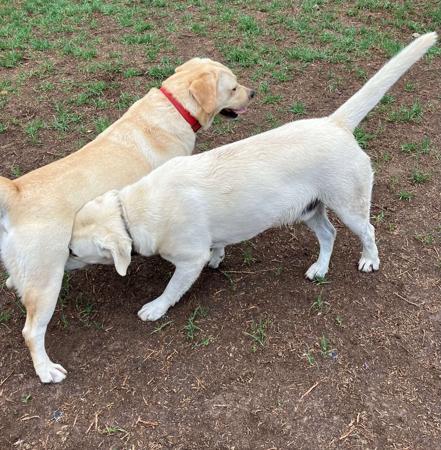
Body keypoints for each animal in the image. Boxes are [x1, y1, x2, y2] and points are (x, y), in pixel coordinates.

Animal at [0, 57, 254, 383]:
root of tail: (16, 192)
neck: (173, 106)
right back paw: (46, 370)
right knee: (31, 331)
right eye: (233, 88)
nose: (253, 93)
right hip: (47, 285)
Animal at [68, 33, 436, 324]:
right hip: (309, 210)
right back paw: (319, 268)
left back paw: (369, 260)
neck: (131, 211)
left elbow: (172, 288)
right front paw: (218, 258)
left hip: (350, 205)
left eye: (72, 250)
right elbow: (217, 246)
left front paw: (155, 308)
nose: (59, 266)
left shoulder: (188, 261)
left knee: (368, 231)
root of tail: (334, 123)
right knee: (329, 235)